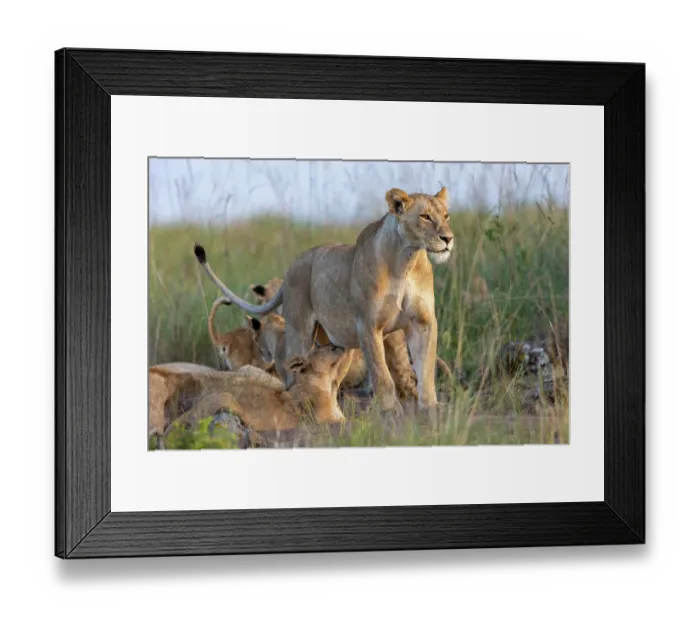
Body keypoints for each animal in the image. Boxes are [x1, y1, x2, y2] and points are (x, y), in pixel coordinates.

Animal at [195, 186, 454, 414]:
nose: (448, 238)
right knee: (294, 371)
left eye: (446, 215)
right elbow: (382, 374)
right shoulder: (368, 325)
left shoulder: (423, 322)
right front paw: (391, 411)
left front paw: (430, 409)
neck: (406, 261)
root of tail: (291, 268)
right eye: (425, 217)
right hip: (300, 330)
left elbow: (425, 370)